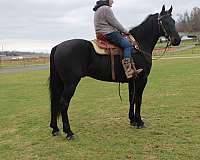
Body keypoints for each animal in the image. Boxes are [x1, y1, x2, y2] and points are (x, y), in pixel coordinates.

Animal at [48, 5, 181, 140]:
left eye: (173, 21)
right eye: (164, 22)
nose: (177, 40)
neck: (139, 45)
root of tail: (58, 46)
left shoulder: (132, 80)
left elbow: (131, 99)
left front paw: (132, 120)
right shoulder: (141, 79)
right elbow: (138, 99)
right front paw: (139, 122)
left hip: (61, 83)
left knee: (54, 102)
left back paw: (55, 129)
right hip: (71, 83)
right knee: (63, 103)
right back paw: (69, 132)